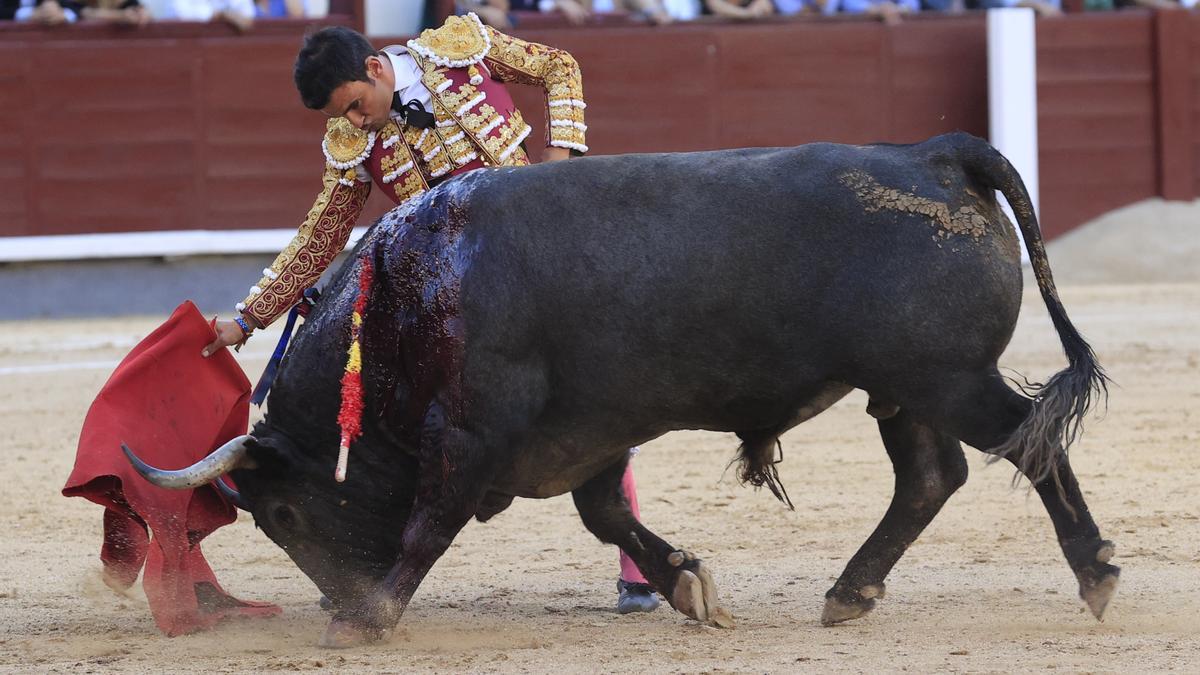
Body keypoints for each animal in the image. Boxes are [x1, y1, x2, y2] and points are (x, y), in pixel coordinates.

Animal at [121, 132, 1113, 648]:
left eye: (282, 514)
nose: (334, 598)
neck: (408, 293)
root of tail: (935, 154)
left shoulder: (470, 433)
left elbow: (431, 518)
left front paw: (371, 615)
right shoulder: (588, 432)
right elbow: (607, 514)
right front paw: (686, 583)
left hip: (948, 378)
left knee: (1028, 439)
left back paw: (1097, 573)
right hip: (905, 388)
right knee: (931, 476)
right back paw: (850, 591)